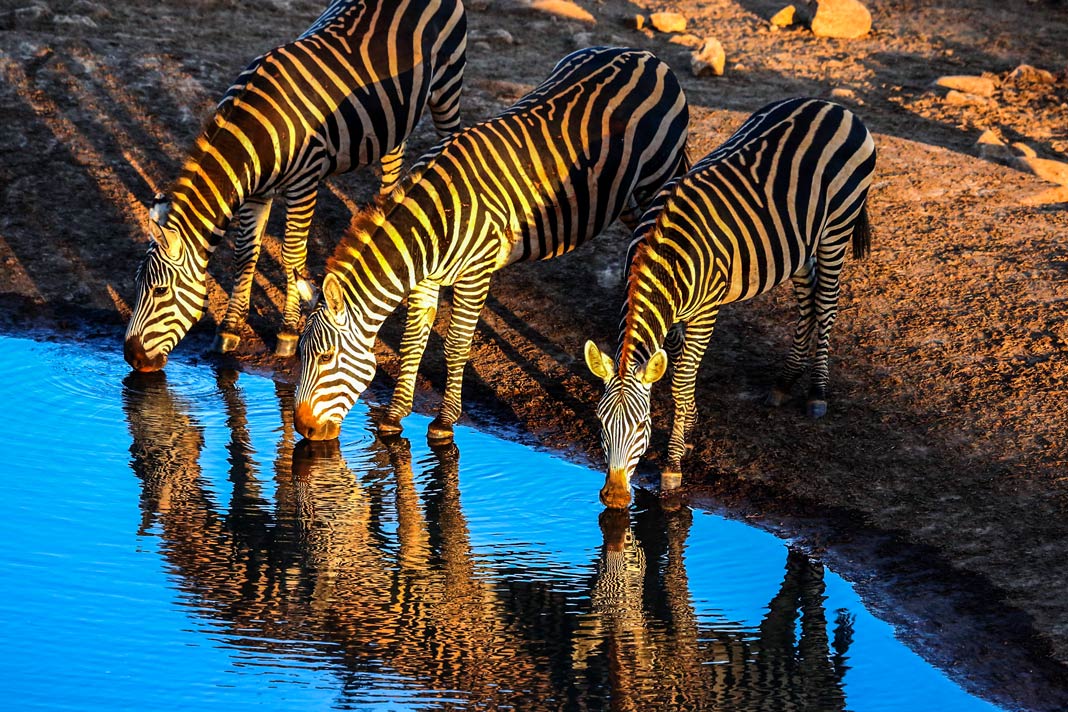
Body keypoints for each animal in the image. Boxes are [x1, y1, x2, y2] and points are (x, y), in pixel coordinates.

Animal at [122, 0, 465, 371]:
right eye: (136, 284)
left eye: (159, 290)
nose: (133, 358)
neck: (254, 130)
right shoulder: (256, 192)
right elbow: (245, 254)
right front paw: (228, 330)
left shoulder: (305, 181)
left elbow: (292, 256)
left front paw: (286, 334)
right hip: (394, 112)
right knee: (393, 157)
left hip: (448, 84)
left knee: (449, 134)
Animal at [296, 45, 687, 439]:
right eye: (300, 354)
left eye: (326, 357)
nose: (303, 429)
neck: (433, 223)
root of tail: (643, 54)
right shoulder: (425, 278)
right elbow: (413, 339)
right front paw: (394, 414)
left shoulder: (475, 273)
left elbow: (456, 345)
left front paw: (444, 422)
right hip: (624, 195)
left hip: (658, 178)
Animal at [585, 97, 875, 510]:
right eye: (599, 421)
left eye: (641, 425)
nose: (613, 497)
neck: (661, 260)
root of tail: (833, 106)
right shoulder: (674, 315)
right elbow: (677, 368)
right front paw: (690, 425)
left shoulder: (705, 312)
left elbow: (682, 378)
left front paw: (673, 463)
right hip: (800, 240)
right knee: (808, 295)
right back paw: (786, 380)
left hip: (837, 227)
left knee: (827, 303)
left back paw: (817, 391)